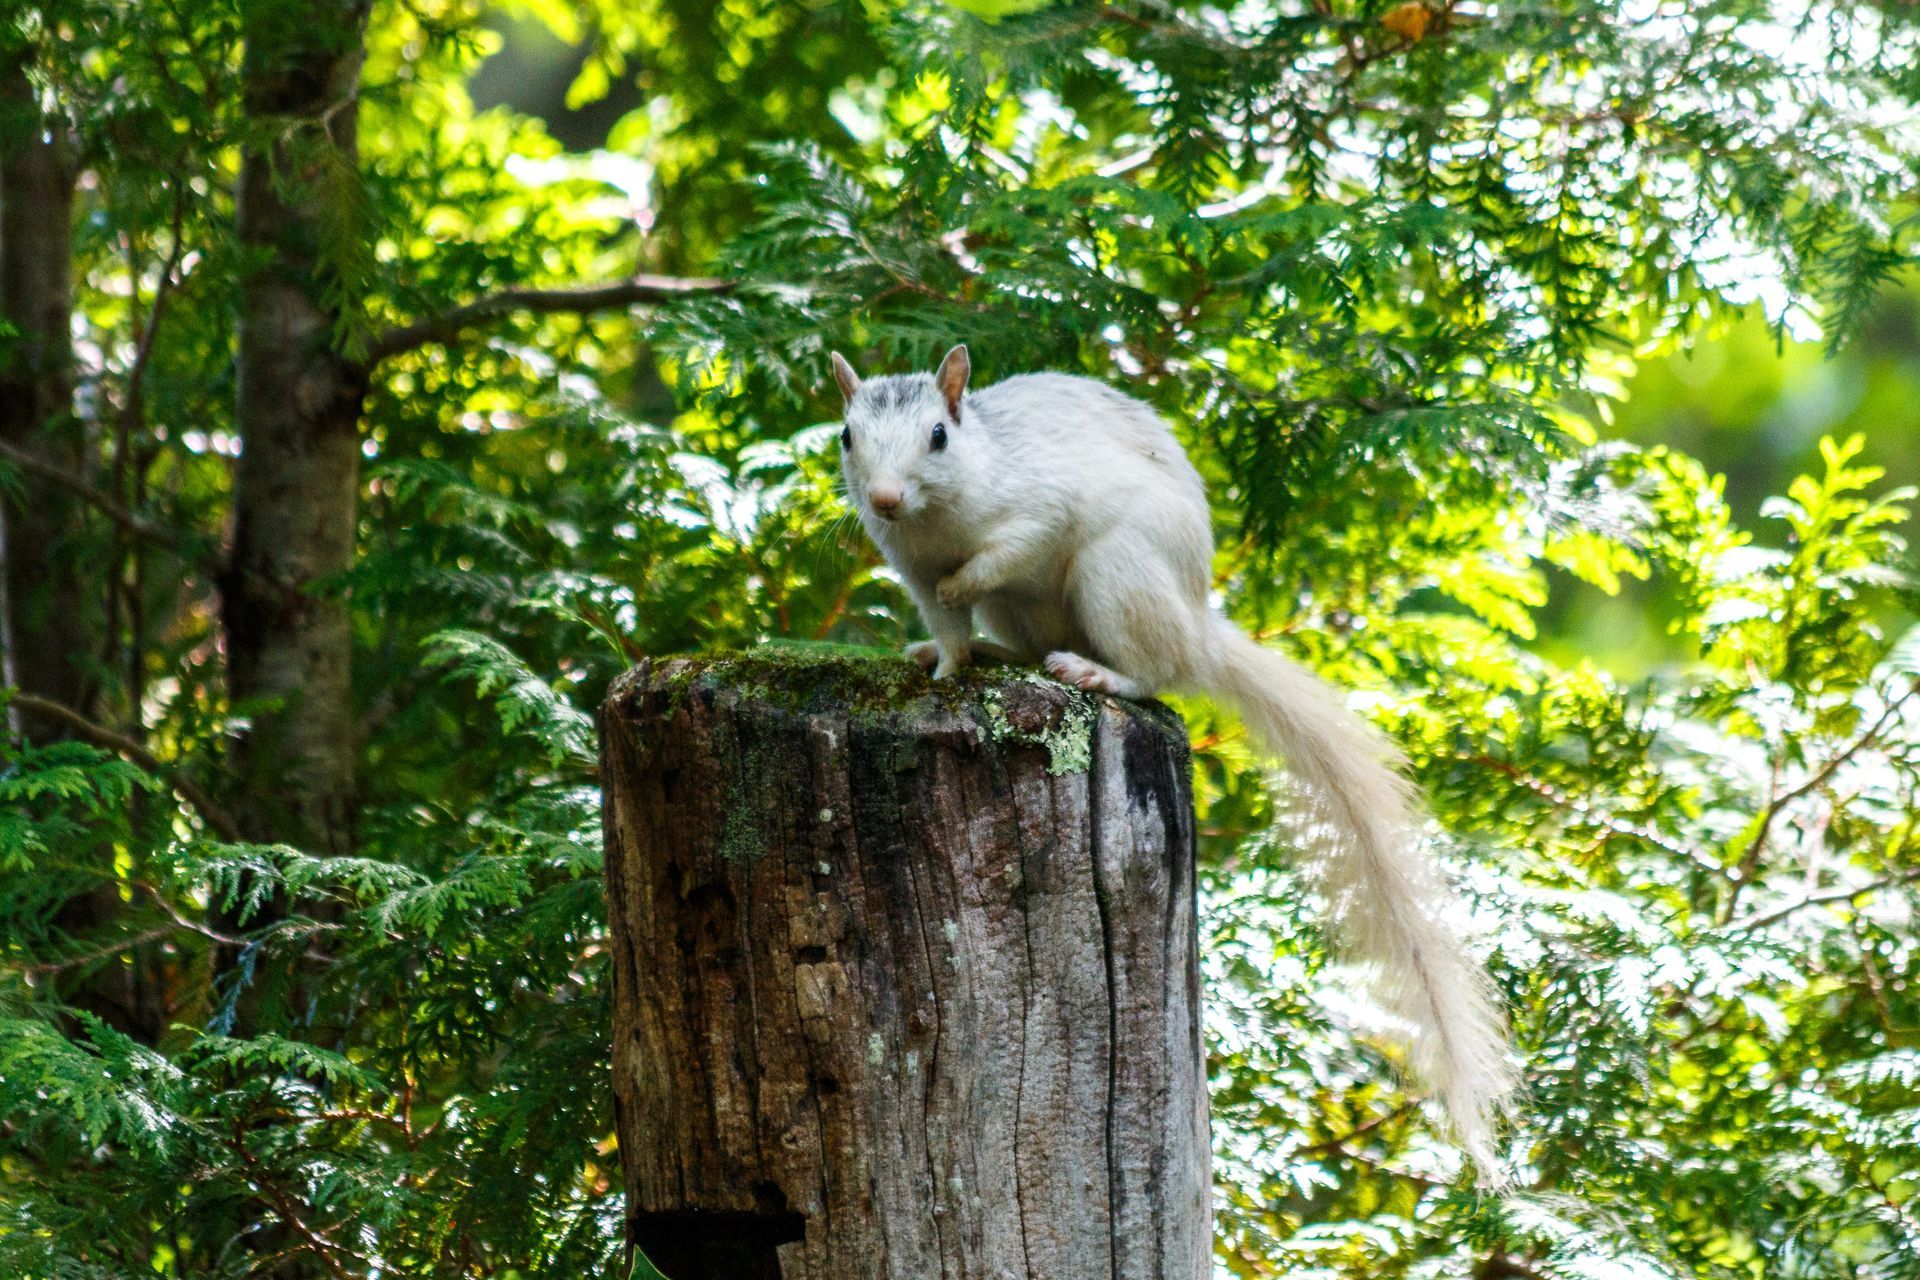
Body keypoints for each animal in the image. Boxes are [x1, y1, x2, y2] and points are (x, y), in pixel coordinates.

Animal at [831, 343, 1517, 1178]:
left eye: (938, 435)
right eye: (846, 437)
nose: (885, 497)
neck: (936, 519)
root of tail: (1197, 624)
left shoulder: (1039, 505)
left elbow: (1008, 551)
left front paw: (966, 581)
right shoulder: (908, 567)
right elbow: (943, 621)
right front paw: (944, 666)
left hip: (1117, 574)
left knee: (1157, 672)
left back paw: (1101, 673)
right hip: (1039, 608)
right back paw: (996, 654)